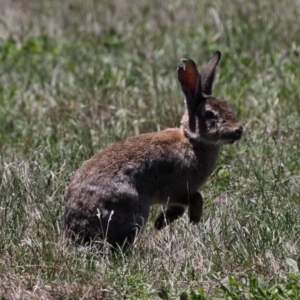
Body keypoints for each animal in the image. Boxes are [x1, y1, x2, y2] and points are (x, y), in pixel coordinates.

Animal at [63, 51, 244, 248]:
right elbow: (196, 198)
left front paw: (160, 223)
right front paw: (192, 220)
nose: (239, 130)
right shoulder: (176, 189)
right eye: (210, 114)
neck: (192, 141)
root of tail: (76, 230)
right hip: (134, 207)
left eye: (227, 105)